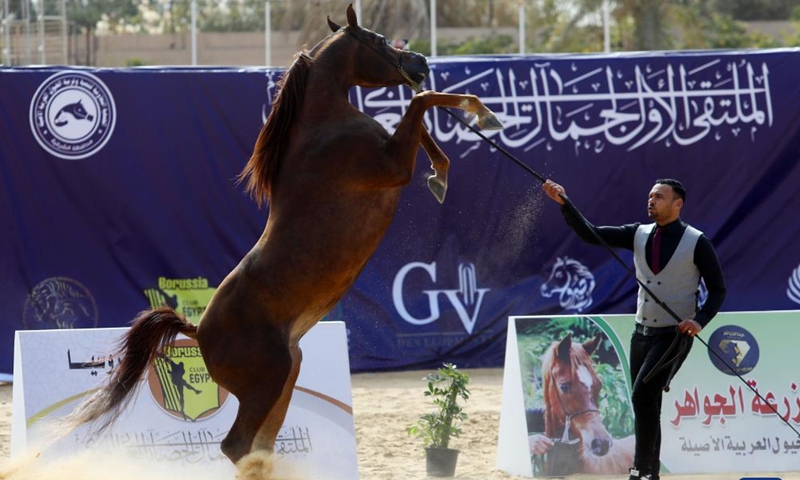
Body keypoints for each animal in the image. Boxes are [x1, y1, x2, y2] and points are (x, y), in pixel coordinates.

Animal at [62, 3, 501, 468]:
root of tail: (198, 330)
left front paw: (442, 173)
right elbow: (421, 103)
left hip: (286, 378)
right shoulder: (394, 165)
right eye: (380, 40)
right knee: (238, 446)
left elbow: (425, 123)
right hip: (267, 384)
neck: (324, 128)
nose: (420, 62)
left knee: (258, 445)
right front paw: (481, 115)